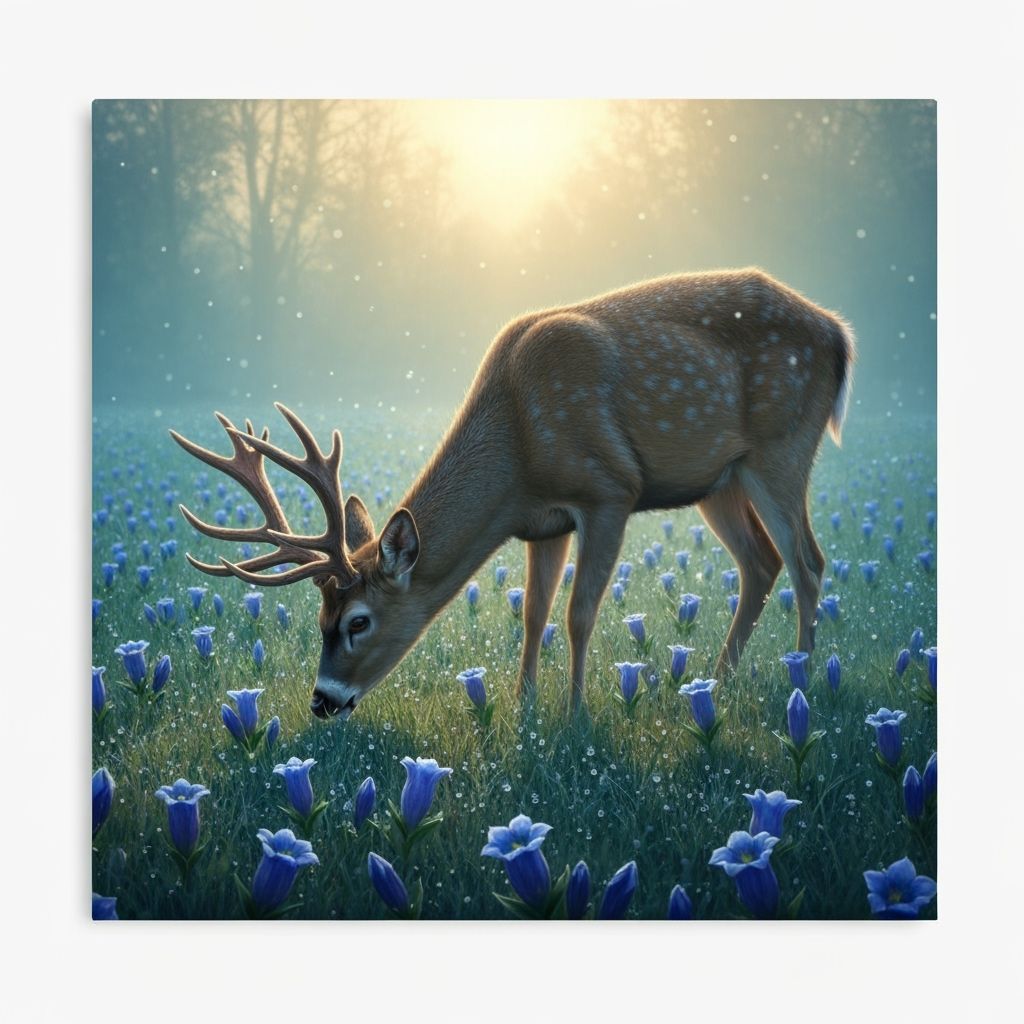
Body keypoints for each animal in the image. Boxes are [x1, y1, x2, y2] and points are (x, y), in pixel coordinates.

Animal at [171, 267, 854, 721]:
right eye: (320, 619)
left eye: (358, 621)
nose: (321, 701)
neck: (520, 448)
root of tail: (839, 334)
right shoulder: (543, 523)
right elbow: (534, 613)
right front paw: (524, 709)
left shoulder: (609, 488)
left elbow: (579, 613)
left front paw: (575, 717)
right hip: (720, 478)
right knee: (761, 562)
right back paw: (716, 684)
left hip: (781, 447)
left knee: (808, 561)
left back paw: (803, 681)